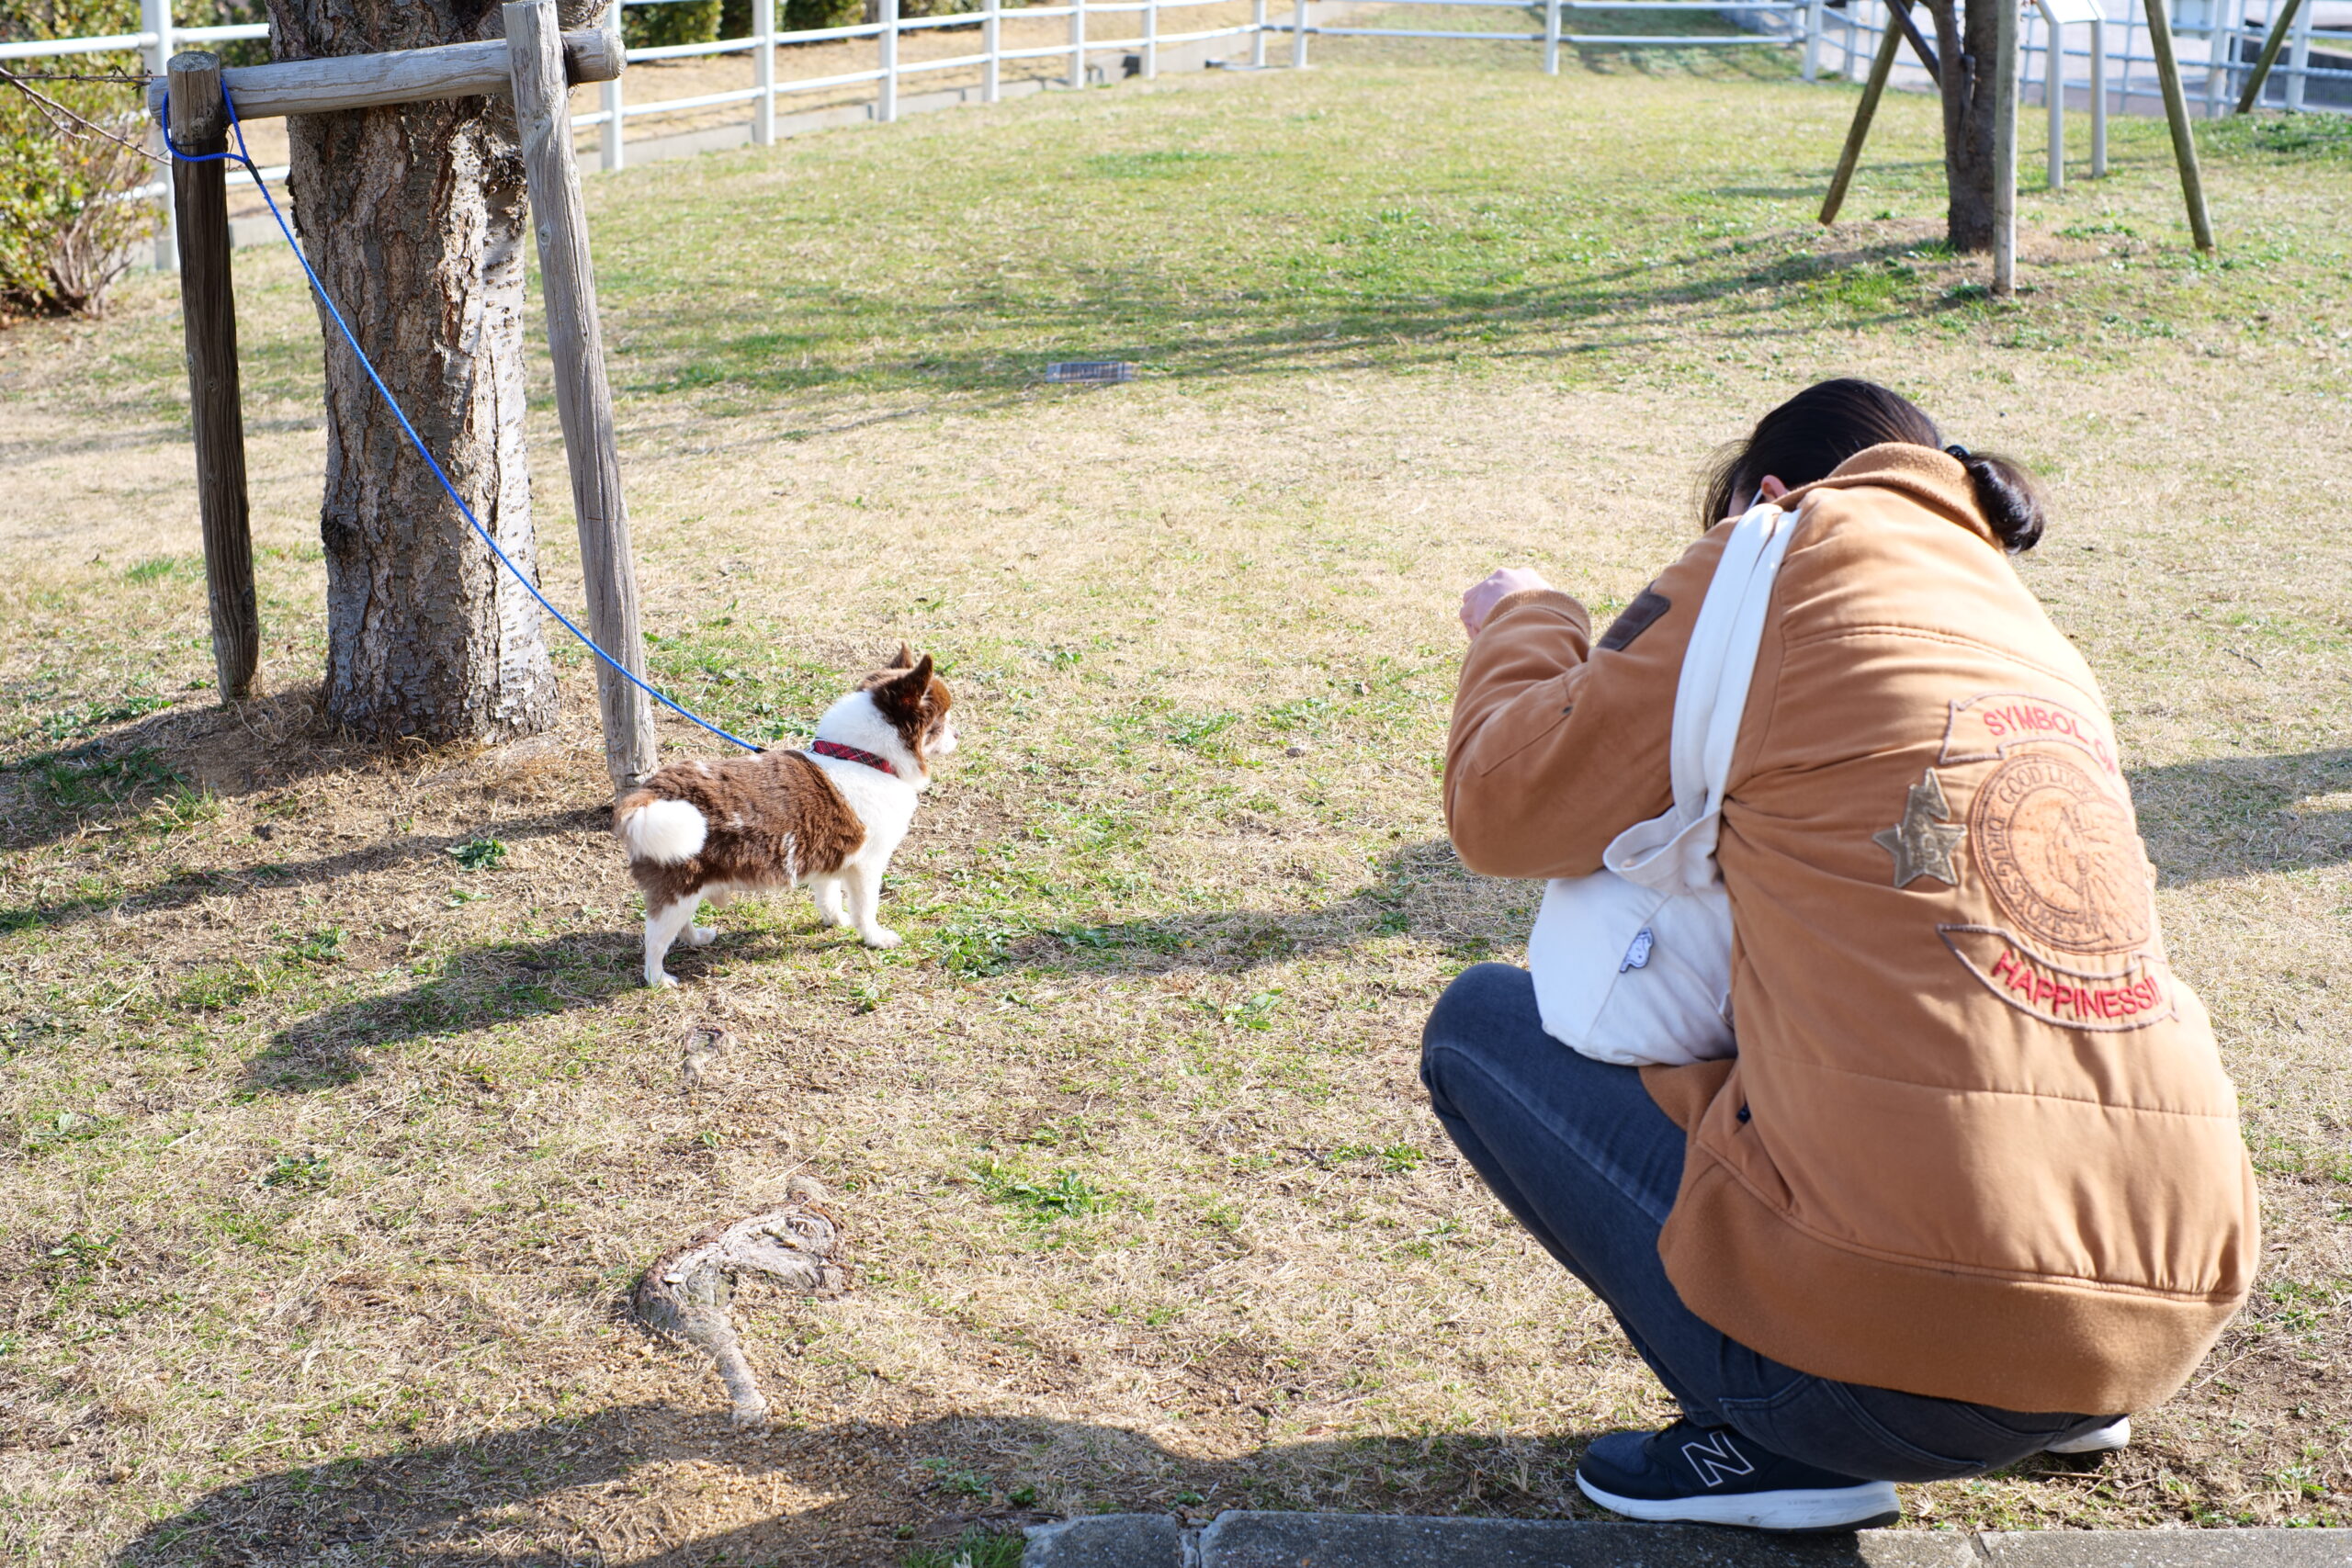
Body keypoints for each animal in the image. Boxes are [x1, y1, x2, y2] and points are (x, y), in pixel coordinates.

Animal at [625, 644, 964, 987]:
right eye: (942, 719)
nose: (959, 734)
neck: (863, 758)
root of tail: (650, 794)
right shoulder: (867, 865)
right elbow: (866, 908)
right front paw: (875, 938)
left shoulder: (832, 858)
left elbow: (829, 897)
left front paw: (836, 921)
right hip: (679, 890)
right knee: (655, 941)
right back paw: (659, 979)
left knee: (680, 926)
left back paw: (697, 938)